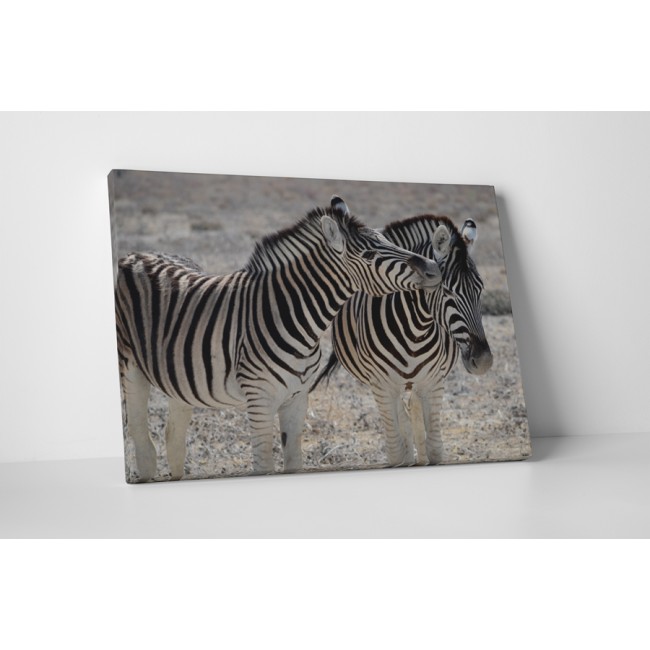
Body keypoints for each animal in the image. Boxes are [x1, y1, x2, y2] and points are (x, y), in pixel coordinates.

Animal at [114, 196, 443, 482]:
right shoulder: (259, 400)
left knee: (173, 439)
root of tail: (135, 255)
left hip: (180, 380)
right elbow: (263, 464)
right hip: (130, 369)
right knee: (143, 444)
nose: (434, 268)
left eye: (388, 240)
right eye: (370, 256)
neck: (297, 321)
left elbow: (293, 462)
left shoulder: (297, 398)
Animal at [313, 214, 493, 467]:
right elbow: (397, 451)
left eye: (480, 289)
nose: (484, 360)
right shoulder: (381, 385)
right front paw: (407, 456)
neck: (415, 330)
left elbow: (435, 448)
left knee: (413, 408)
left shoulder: (433, 382)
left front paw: (425, 456)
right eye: (447, 291)